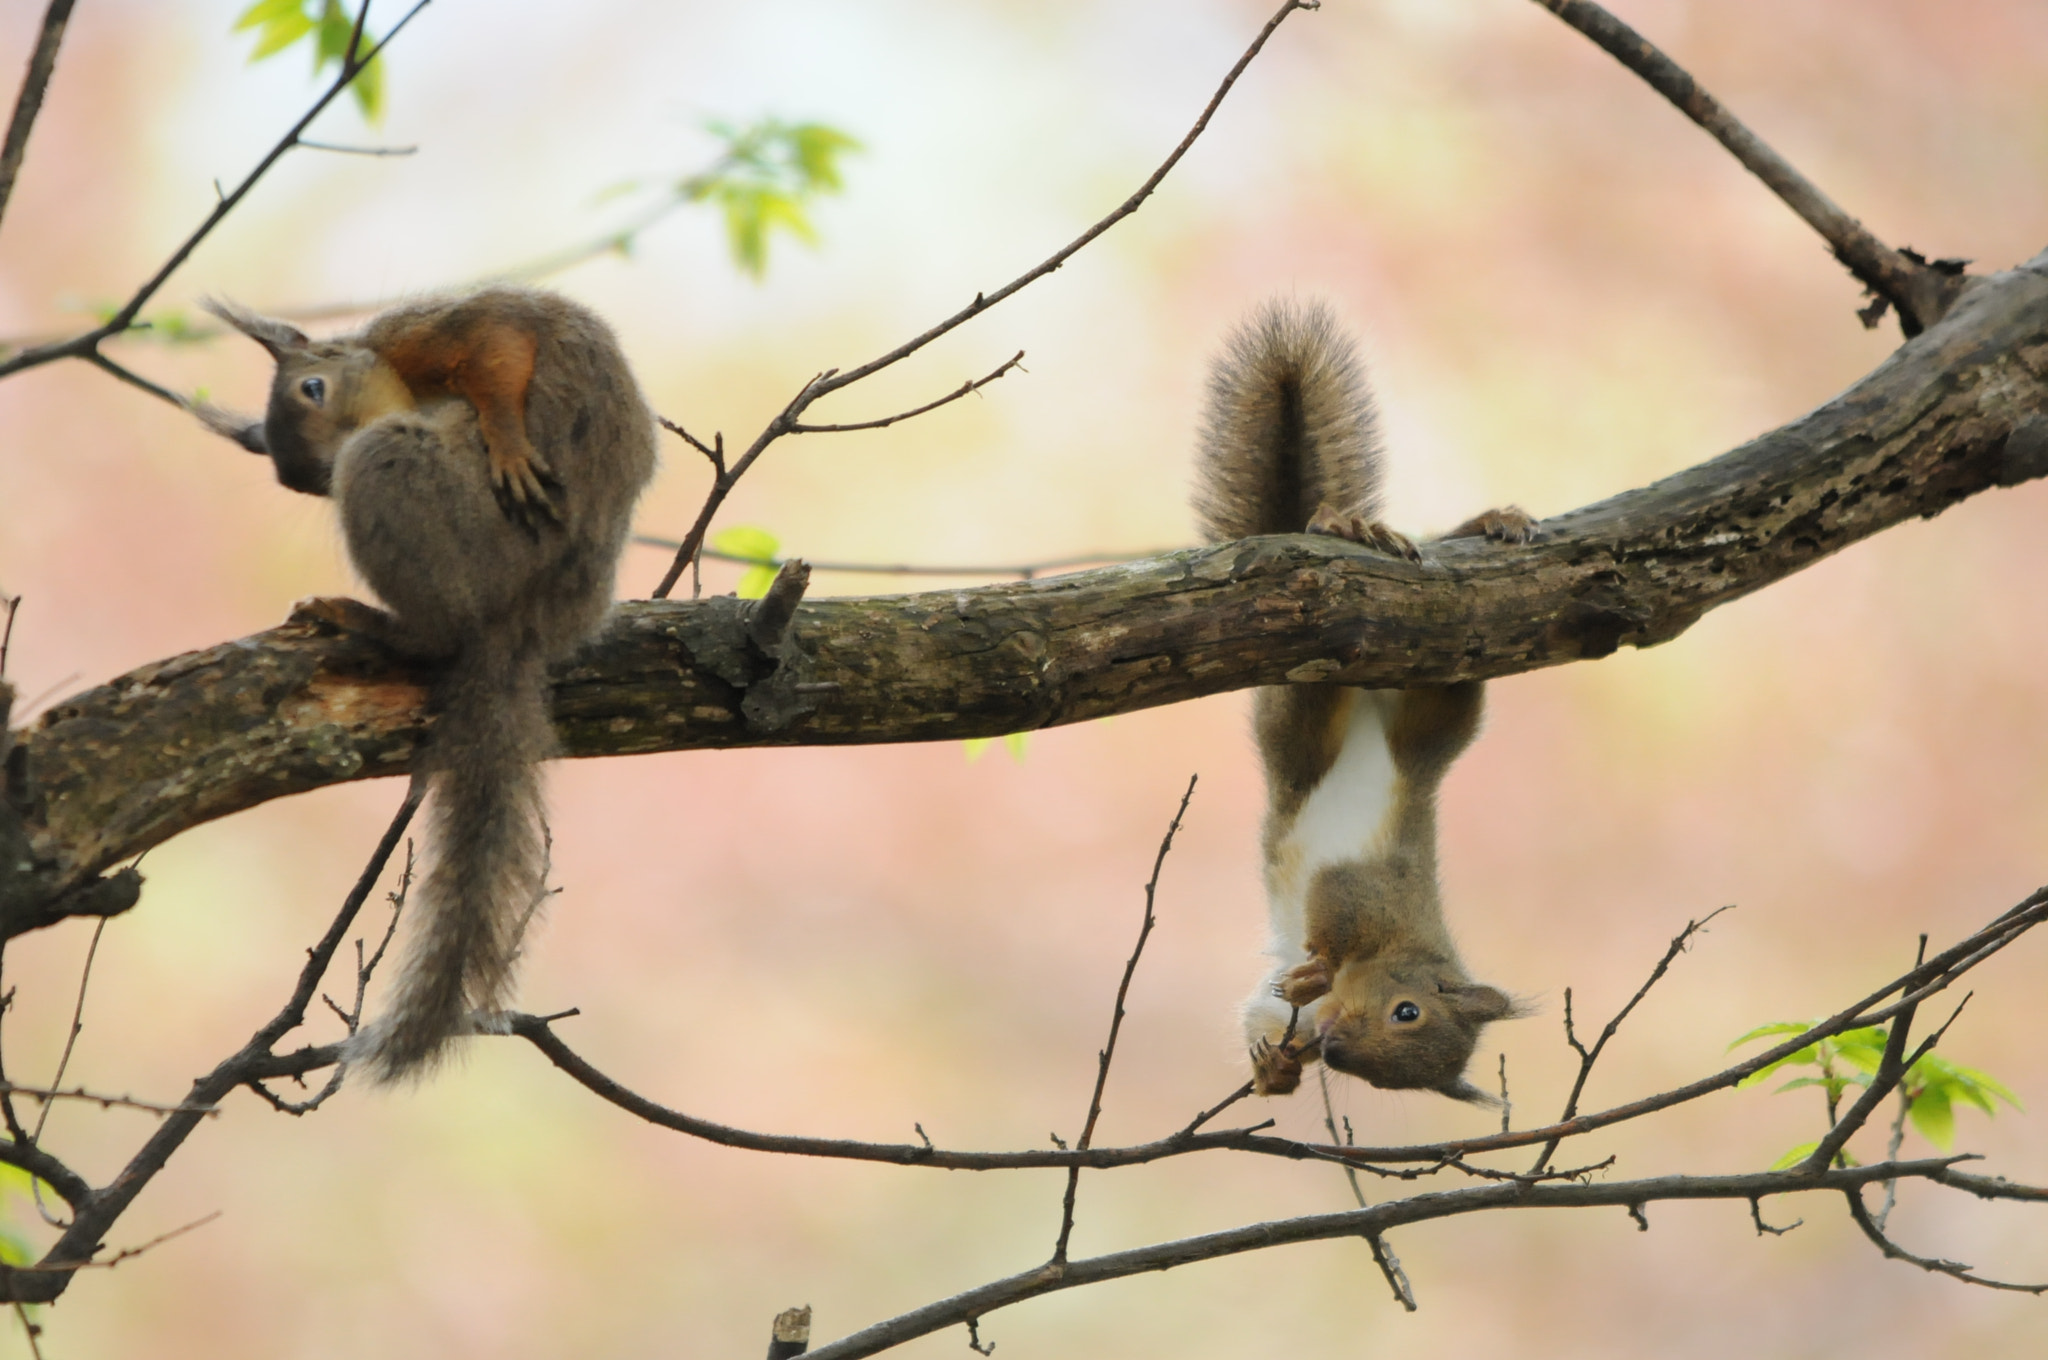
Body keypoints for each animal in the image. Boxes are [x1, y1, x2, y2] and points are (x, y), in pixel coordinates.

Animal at [195, 285, 658, 1081]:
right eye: (285, 474)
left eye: (313, 389)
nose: (320, 477)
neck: (391, 373)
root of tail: (517, 623)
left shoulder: (429, 331)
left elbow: (499, 346)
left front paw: (506, 436)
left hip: (404, 474)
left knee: (439, 633)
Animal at [1192, 299, 1534, 1105]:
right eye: (1407, 1009)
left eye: (1386, 1083)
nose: (1335, 1047)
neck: (1403, 947)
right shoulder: (1362, 891)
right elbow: (1331, 911)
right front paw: (1315, 968)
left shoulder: (1282, 1008)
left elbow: (1261, 1018)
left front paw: (1278, 1067)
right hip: (1314, 709)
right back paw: (1372, 525)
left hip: (1428, 712)